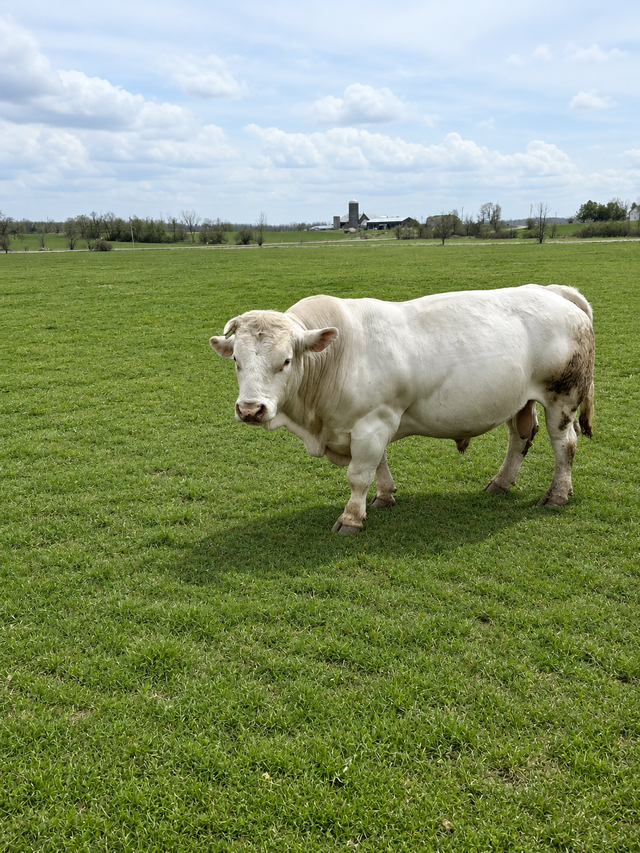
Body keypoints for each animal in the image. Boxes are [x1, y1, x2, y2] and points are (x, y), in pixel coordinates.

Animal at [210, 285, 595, 535]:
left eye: (286, 361)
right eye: (237, 361)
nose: (250, 409)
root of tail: (554, 291)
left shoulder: (372, 423)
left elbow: (358, 474)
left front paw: (351, 518)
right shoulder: (368, 424)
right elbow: (378, 464)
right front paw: (384, 496)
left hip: (561, 398)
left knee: (565, 445)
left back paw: (557, 495)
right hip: (519, 400)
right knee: (519, 439)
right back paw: (500, 482)